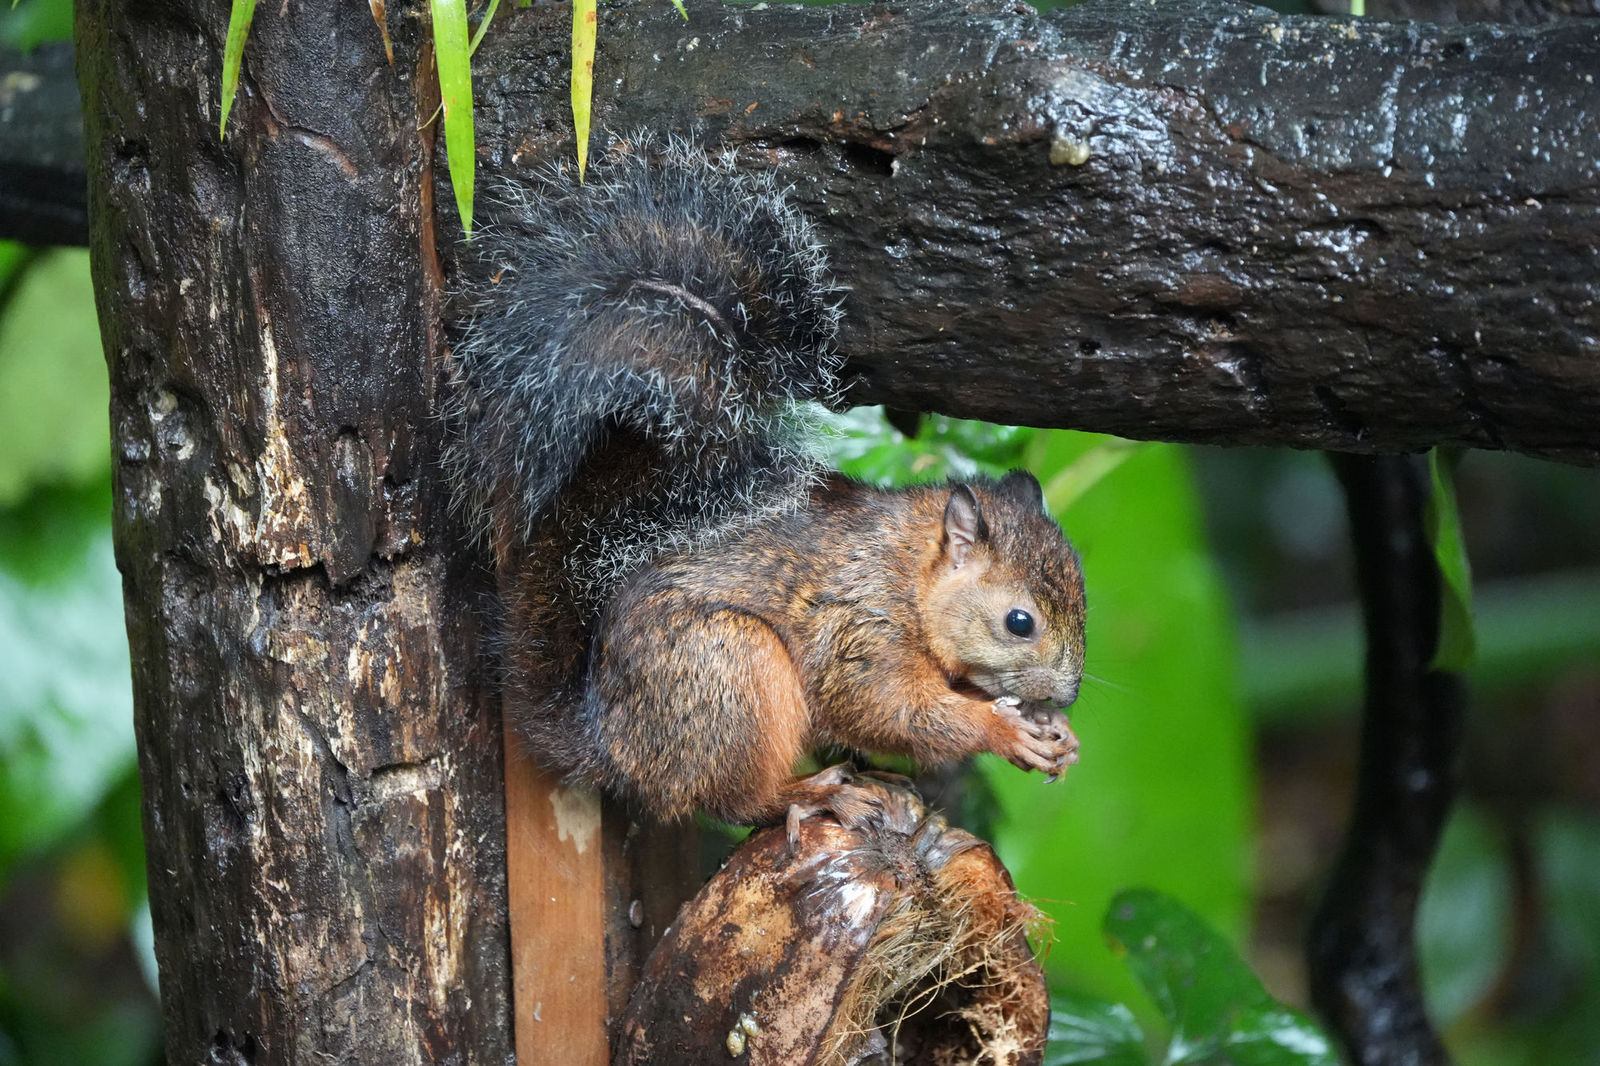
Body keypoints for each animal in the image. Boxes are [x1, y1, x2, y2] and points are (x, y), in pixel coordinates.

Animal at [445, 139, 1086, 832]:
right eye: (1019, 622)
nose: (1069, 693)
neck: (909, 575)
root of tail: (610, 747)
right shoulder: (860, 631)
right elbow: (889, 709)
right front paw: (1004, 731)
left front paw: (1055, 733)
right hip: (732, 672)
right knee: (736, 799)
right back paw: (818, 792)